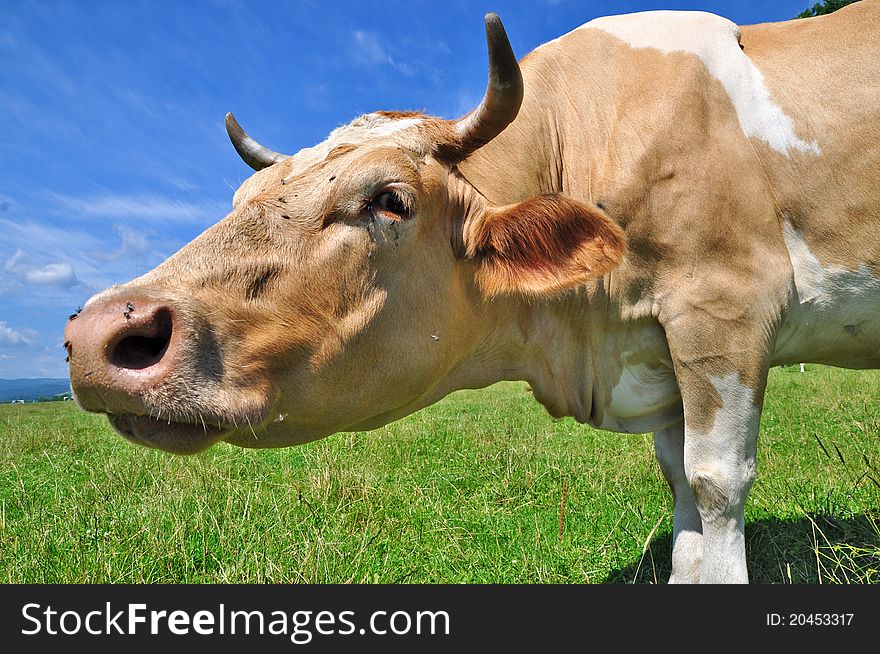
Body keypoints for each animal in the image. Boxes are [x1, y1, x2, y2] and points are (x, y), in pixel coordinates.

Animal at [63, 2, 880, 588]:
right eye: (241, 198)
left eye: (389, 200)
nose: (100, 335)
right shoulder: (657, 351)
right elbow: (679, 481)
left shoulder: (723, 311)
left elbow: (715, 484)